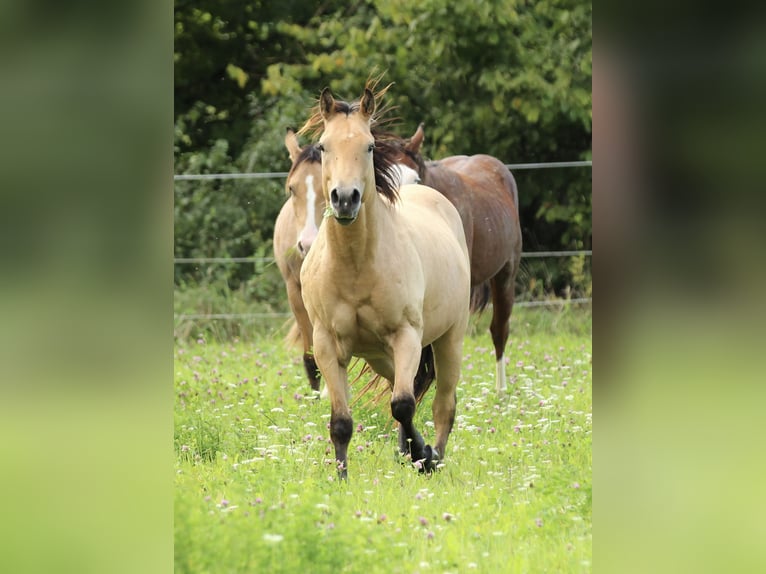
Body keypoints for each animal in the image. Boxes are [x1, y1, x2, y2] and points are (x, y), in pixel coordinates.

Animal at [299, 86, 470, 478]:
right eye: (323, 146)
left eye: (370, 146)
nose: (345, 199)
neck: (356, 265)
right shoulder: (326, 345)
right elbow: (341, 423)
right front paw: (342, 478)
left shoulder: (406, 335)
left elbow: (404, 405)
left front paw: (423, 456)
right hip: (381, 356)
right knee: (404, 388)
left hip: (449, 339)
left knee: (442, 405)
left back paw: (433, 456)